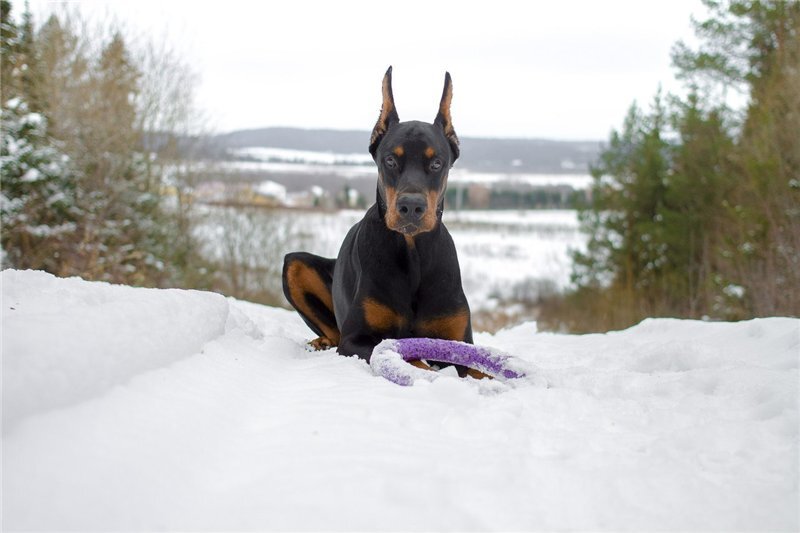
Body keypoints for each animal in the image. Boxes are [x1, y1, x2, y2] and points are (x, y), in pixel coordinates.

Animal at [282, 65, 472, 374]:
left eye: (436, 163)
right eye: (391, 160)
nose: (411, 206)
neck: (412, 251)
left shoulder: (461, 341)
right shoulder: (357, 339)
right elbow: (408, 358)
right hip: (295, 265)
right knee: (333, 332)